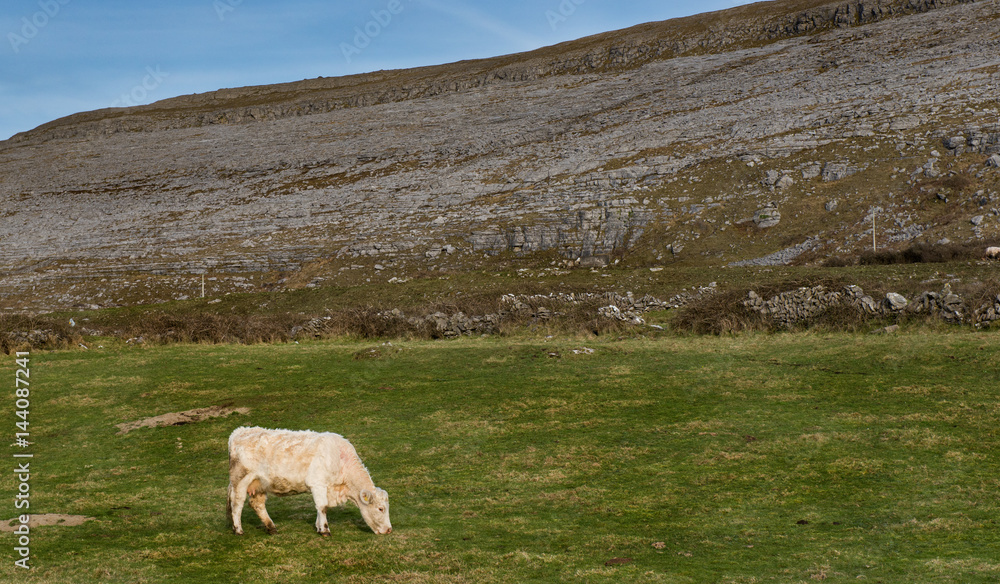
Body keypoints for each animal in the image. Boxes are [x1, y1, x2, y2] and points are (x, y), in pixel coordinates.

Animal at [227, 426, 392, 536]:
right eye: (381, 509)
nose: (389, 530)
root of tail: (240, 431)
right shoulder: (318, 483)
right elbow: (322, 507)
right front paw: (324, 530)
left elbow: (320, 507)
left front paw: (318, 527)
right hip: (240, 480)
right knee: (237, 503)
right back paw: (238, 529)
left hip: (259, 484)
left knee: (257, 504)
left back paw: (271, 527)